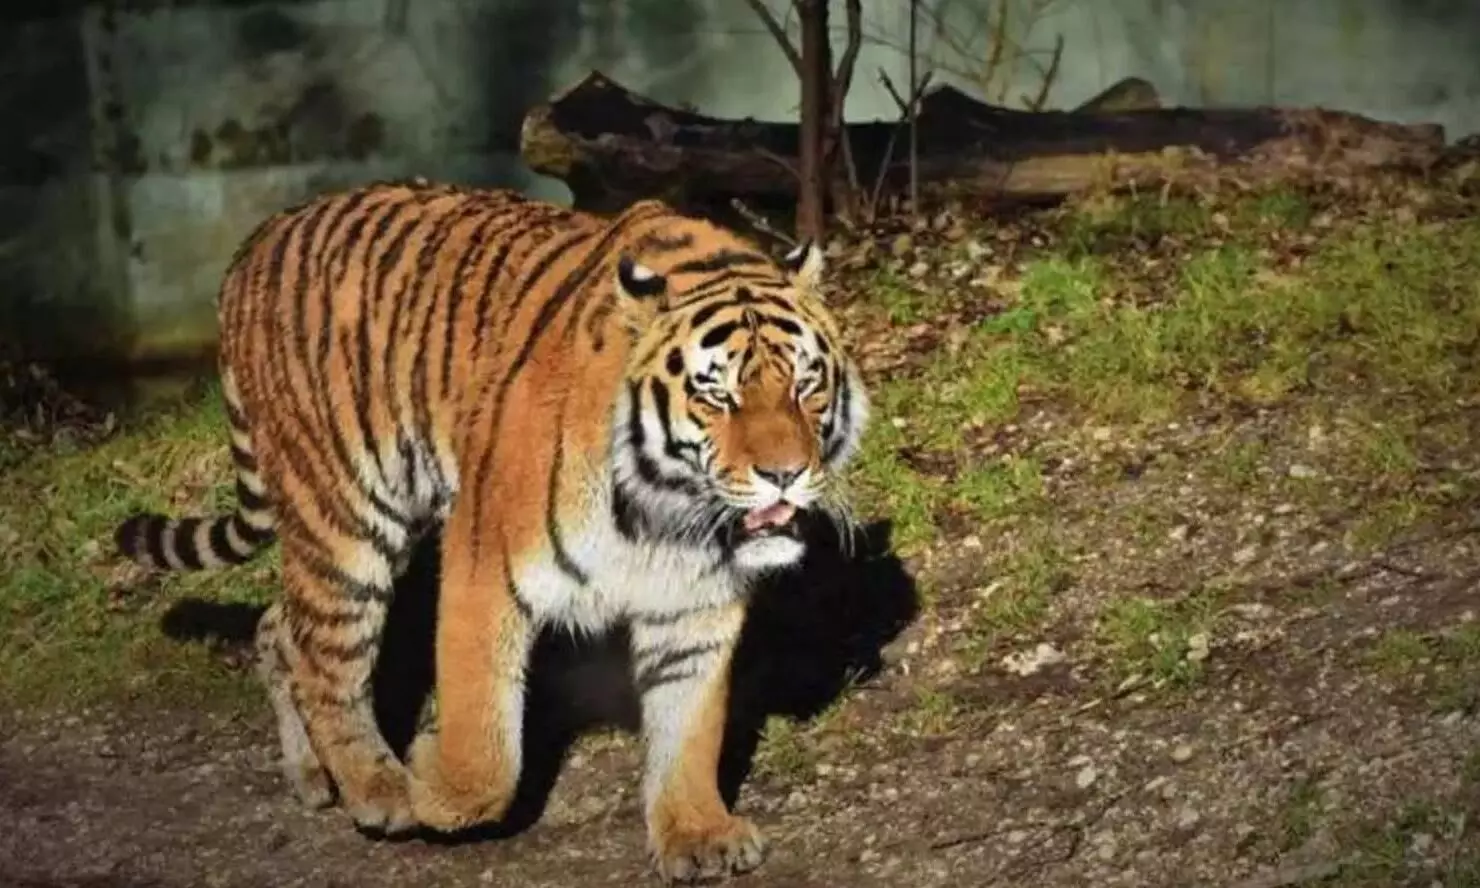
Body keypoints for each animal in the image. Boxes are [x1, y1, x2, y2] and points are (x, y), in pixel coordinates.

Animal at [112, 179, 870, 882]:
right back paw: (378, 789)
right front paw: (429, 776)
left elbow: (690, 728)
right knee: (328, 660)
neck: (666, 508)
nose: (785, 474)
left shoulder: (695, 603)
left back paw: (312, 776)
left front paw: (697, 833)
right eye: (717, 394)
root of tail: (261, 237)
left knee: (281, 628)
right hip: (346, 518)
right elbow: (487, 749)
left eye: (806, 385)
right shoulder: (485, 565)